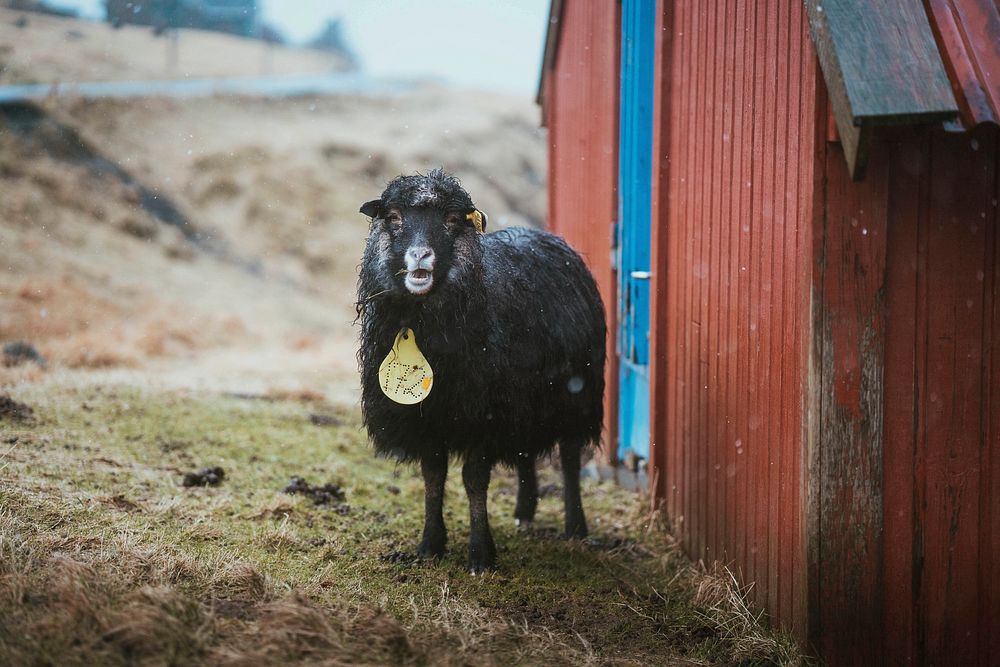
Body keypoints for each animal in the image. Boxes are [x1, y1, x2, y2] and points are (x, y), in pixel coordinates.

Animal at [356, 170, 604, 572]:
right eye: (393, 216)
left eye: (451, 219)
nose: (420, 255)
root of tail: (541, 232)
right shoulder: (429, 418)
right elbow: (433, 476)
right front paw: (430, 545)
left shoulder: (483, 417)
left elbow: (474, 481)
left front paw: (480, 555)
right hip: (525, 403)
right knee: (525, 453)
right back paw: (524, 512)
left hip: (576, 396)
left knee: (568, 458)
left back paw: (575, 528)